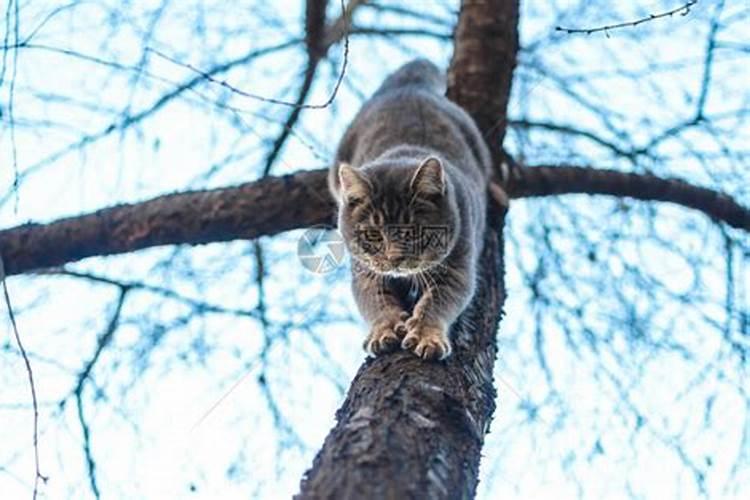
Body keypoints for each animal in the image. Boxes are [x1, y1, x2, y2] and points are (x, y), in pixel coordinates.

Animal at [328, 58, 494, 360]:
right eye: (372, 234)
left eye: (414, 232)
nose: (394, 258)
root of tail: (409, 86)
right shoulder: (363, 272)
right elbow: (375, 302)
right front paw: (384, 330)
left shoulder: (458, 267)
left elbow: (437, 303)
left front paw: (427, 335)